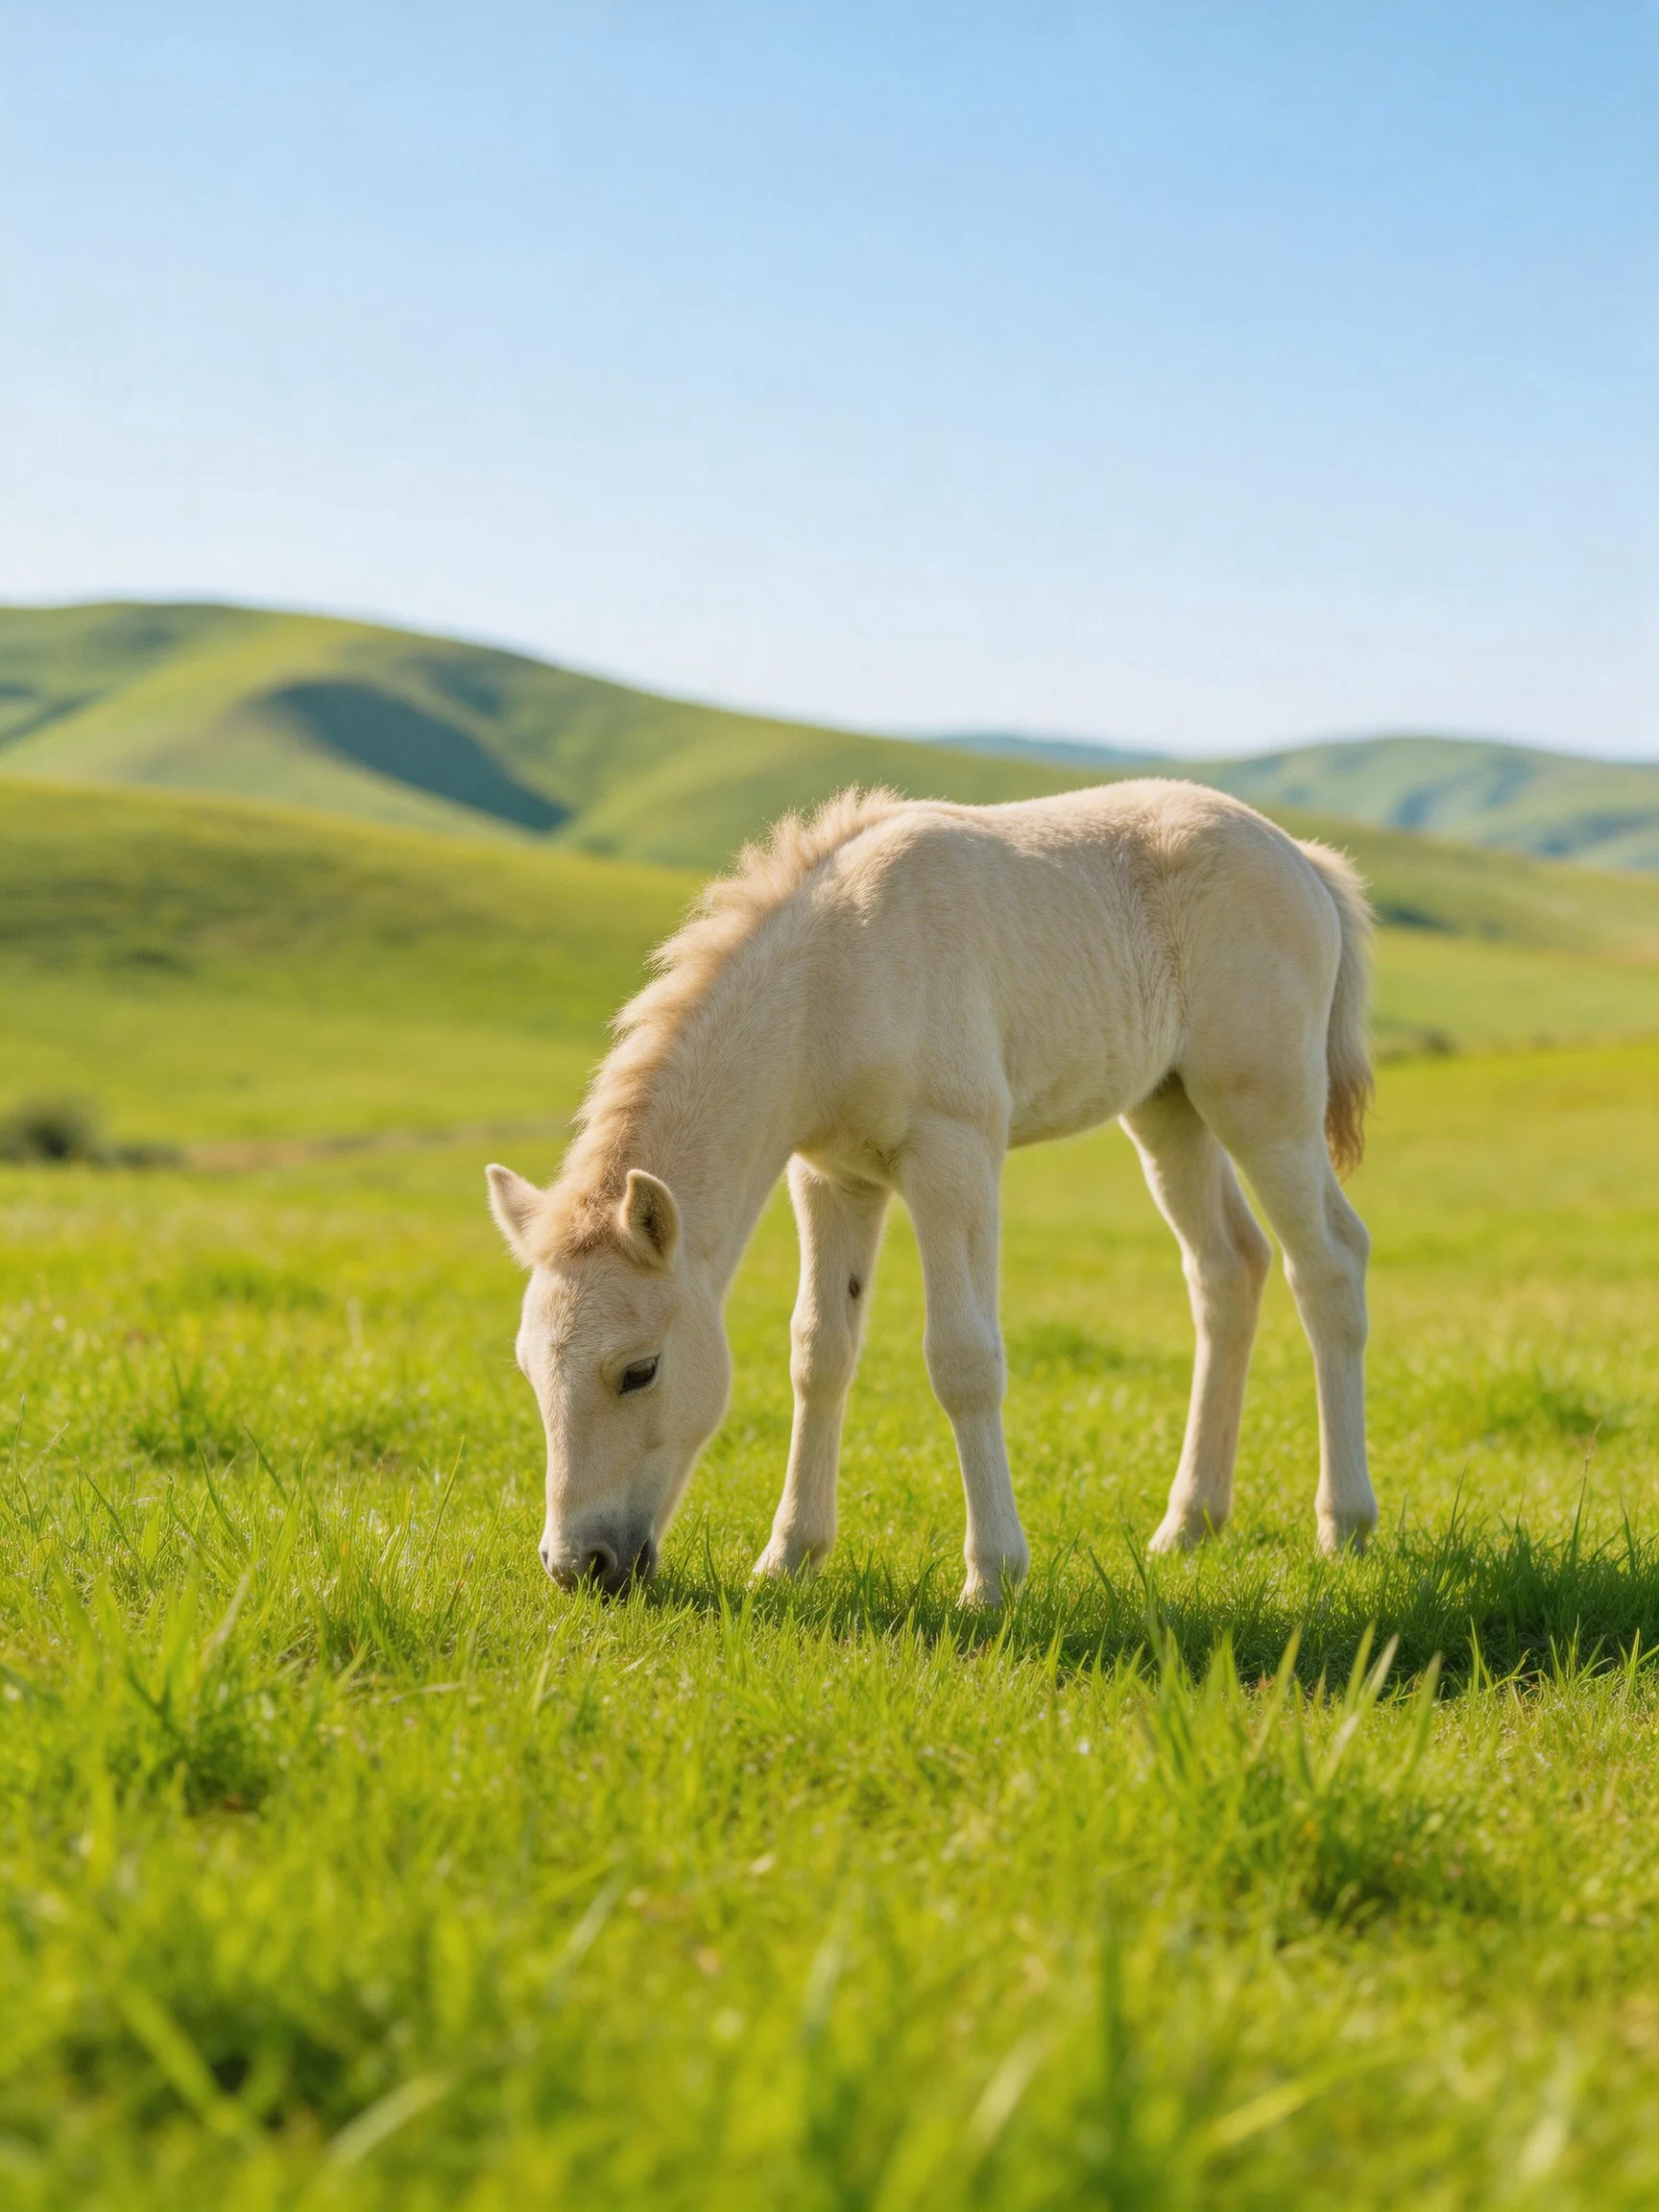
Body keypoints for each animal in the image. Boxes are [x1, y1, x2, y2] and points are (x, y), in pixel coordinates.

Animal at [487, 779, 1376, 1605]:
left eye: (640, 1370)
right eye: (527, 1367)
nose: (579, 1565)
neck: (835, 980)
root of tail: (1303, 858)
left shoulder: (954, 1155)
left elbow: (964, 1358)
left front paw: (992, 1579)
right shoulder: (833, 1174)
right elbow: (820, 1349)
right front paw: (789, 1558)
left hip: (1263, 1105)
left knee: (1328, 1263)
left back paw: (1346, 1525)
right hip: (1169, 1109)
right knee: (1229, 1269)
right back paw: (1189, 1524)